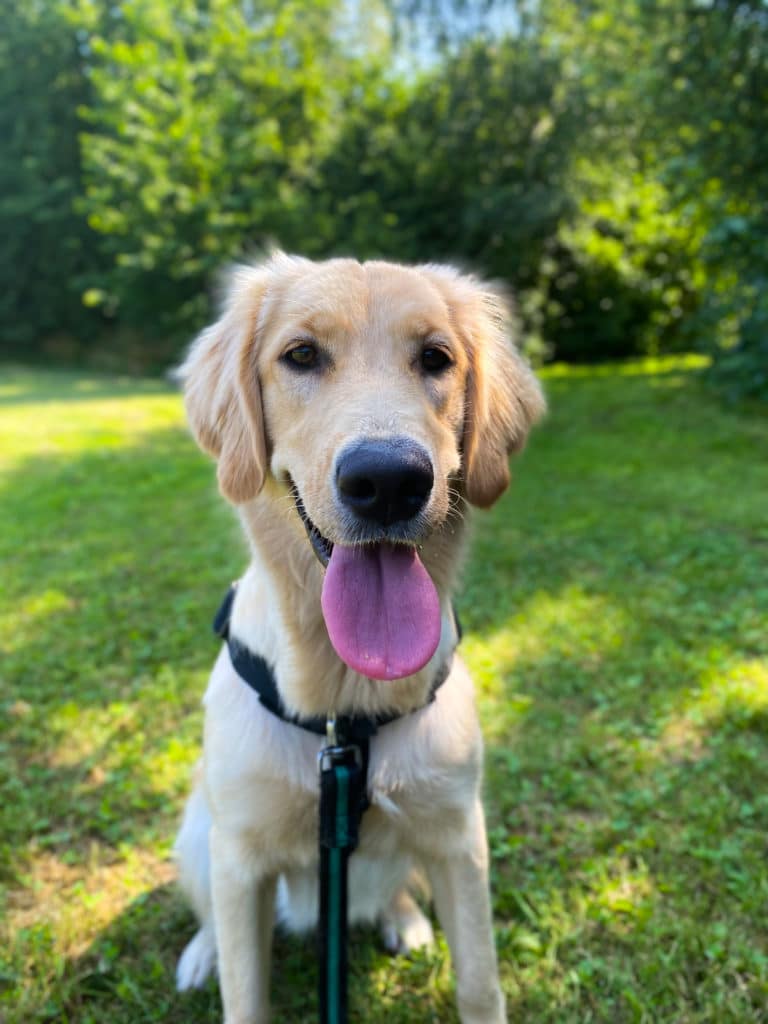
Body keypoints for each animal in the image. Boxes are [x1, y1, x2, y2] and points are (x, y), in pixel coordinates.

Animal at [174, 249, 548, 1024]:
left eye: (436, 358)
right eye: (301, 355)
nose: (388, 480)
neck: (344, 714)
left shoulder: (459, 836)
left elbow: (480, 982)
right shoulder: (240, 855)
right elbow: (245, 992)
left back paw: (402, 919)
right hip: (198, 834)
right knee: (209, 916)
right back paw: (199, 954)